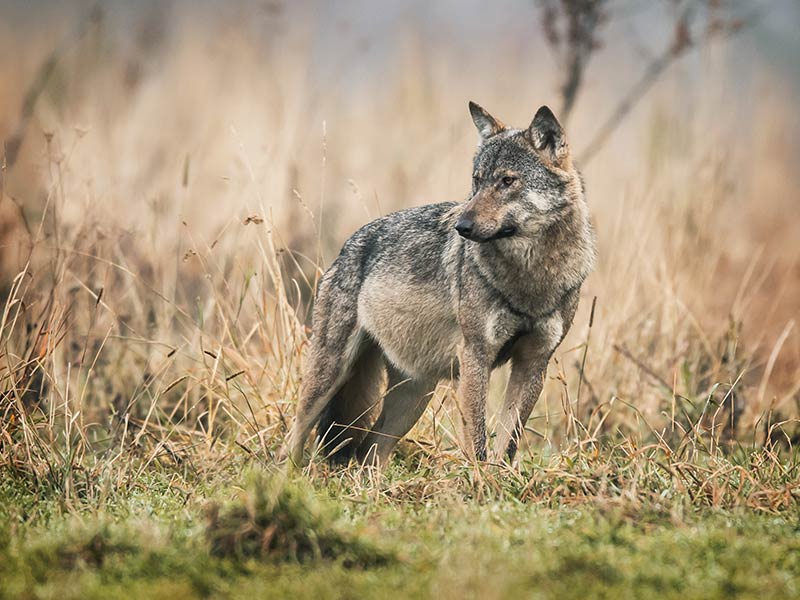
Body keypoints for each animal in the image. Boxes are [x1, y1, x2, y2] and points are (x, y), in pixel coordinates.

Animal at [284, 102, 595, 466]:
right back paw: (284, 473)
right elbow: (477, 440)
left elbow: (508, 442)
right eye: (477, 181)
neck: (532, 277)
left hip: (412, 398)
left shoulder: (534, 362)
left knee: (370, 451)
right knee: (294, 436)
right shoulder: (475, 356)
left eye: (507, 181)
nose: (462, 226)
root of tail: (347, 246)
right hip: (331, 374)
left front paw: (501, 477)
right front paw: (479, 478)